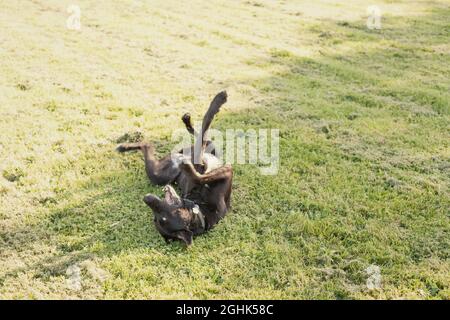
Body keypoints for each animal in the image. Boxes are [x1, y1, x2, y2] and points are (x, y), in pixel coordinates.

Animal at [117, 91, 232, 246]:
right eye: (158, 217)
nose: (146, 198)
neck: (201, 212)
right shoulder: (226, 170)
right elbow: (199, 176)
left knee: (202, 138)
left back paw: (187, 122)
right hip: (158, 173)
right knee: (149, 145)